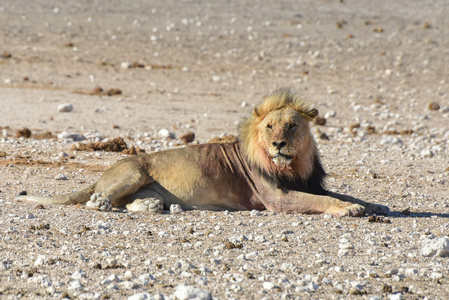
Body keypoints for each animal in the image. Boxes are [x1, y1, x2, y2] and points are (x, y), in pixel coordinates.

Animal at [16, 88, 388, 217]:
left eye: (292, 126)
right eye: (270, 127)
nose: (278, 144)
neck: (294, 164)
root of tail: (103, 173)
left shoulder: (308, 182)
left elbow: (343, 194)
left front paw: (376, 205)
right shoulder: (277, 198)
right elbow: (322, 201)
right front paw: (349, 210)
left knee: (135, 202)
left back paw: (153, 206)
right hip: (133, 171)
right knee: (100, 200)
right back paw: (104, 203)